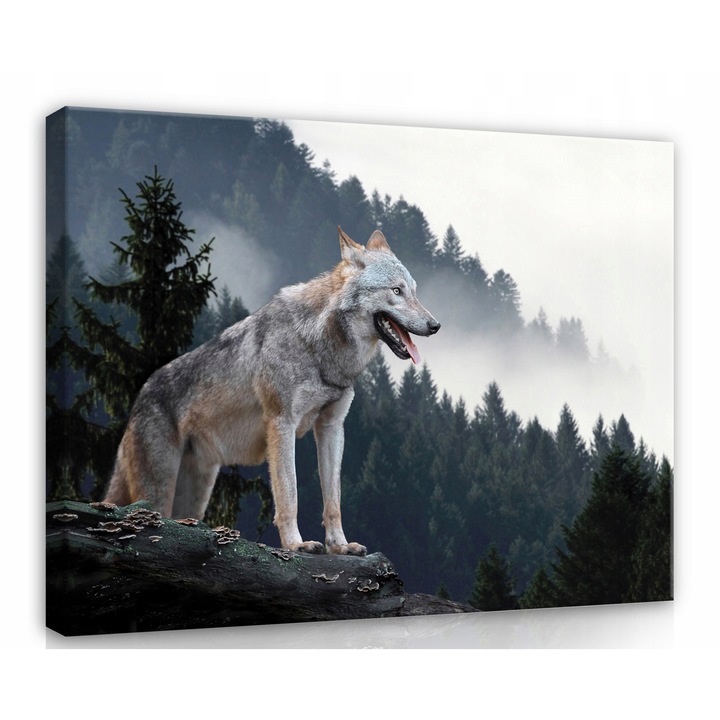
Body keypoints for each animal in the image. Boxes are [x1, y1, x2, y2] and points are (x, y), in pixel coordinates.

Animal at [104, 227, 440, 555]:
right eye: (396, 291)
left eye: (414, 291)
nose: (435, 325)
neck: (320, 346)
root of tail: (139, 397)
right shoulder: (281, 423)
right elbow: (289, 495)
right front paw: (296, 544)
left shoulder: (332, 427)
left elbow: (333, 500)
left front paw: (340, 546)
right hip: (160, 490)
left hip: (195, 496)